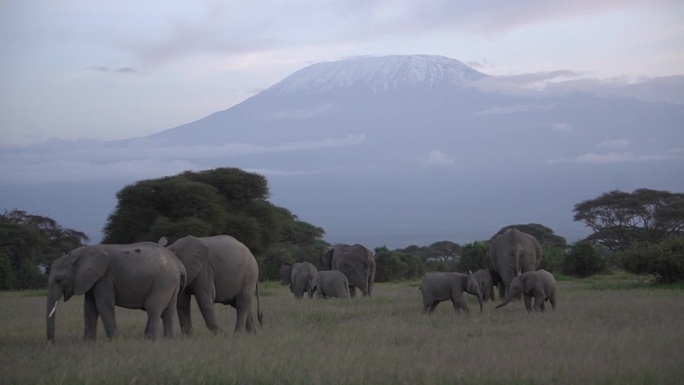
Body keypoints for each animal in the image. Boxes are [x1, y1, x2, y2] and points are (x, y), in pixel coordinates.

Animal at [46, 242, 186, 344]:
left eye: (59, 280)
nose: (52, 342)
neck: (81, 254)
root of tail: (179, 265)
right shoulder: (92, 279)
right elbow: (89, 308)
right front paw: (89, 343)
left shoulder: (105, 277)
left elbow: (104, 305)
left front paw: (113, 341)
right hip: (171, 282)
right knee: (168, 310)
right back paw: (168, 340)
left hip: (164, 280)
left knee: (153, 306)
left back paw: (149, 339)